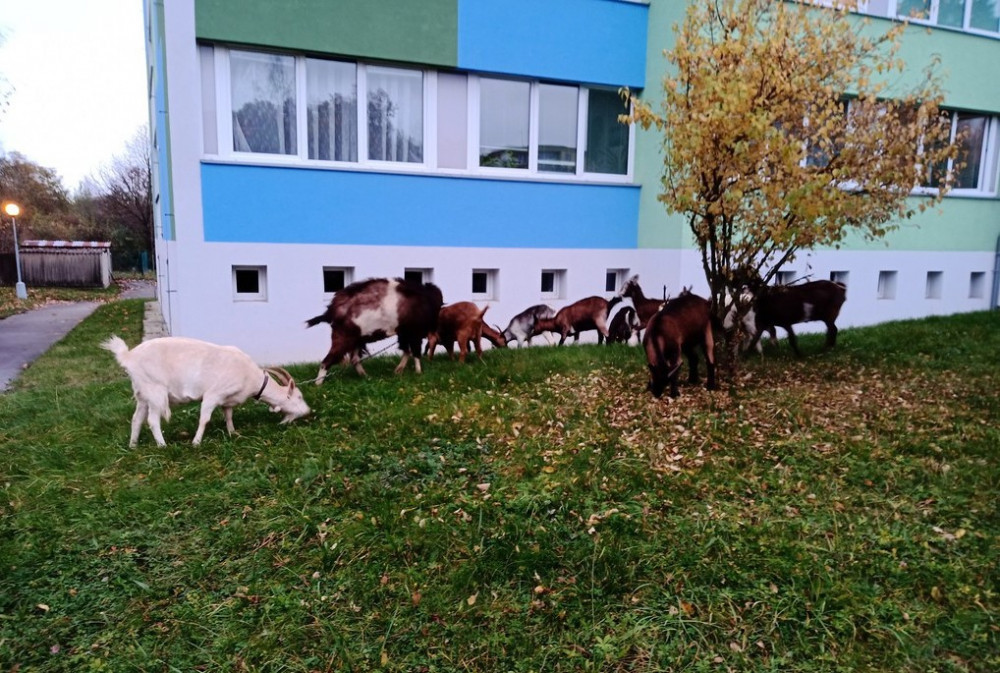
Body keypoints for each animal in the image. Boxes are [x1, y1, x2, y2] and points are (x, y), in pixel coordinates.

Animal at [101, 335, 310, 447]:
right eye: (299, 397)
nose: (308, 411)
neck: (251, 377)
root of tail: (128, 356)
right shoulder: (213, 394)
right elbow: (205, 419)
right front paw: (196, 442)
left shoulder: (227, 400)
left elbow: (228, 415)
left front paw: (233, 433)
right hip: (155, 391)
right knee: (152, 420)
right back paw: (162, 446)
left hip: (142, 393)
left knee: (136, 419)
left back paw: (133, 445)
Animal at [306, 277, 443, 383]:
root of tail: (331, 311)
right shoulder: (413, 332)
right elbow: (415, 352)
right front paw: (419, 372)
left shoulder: (403, 333)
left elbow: (407, 351)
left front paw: (398, 371)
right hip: (343, 338)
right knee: (326, 361)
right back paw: (318, 385)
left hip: (356, 340)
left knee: (354, 359)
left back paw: (366, 377)